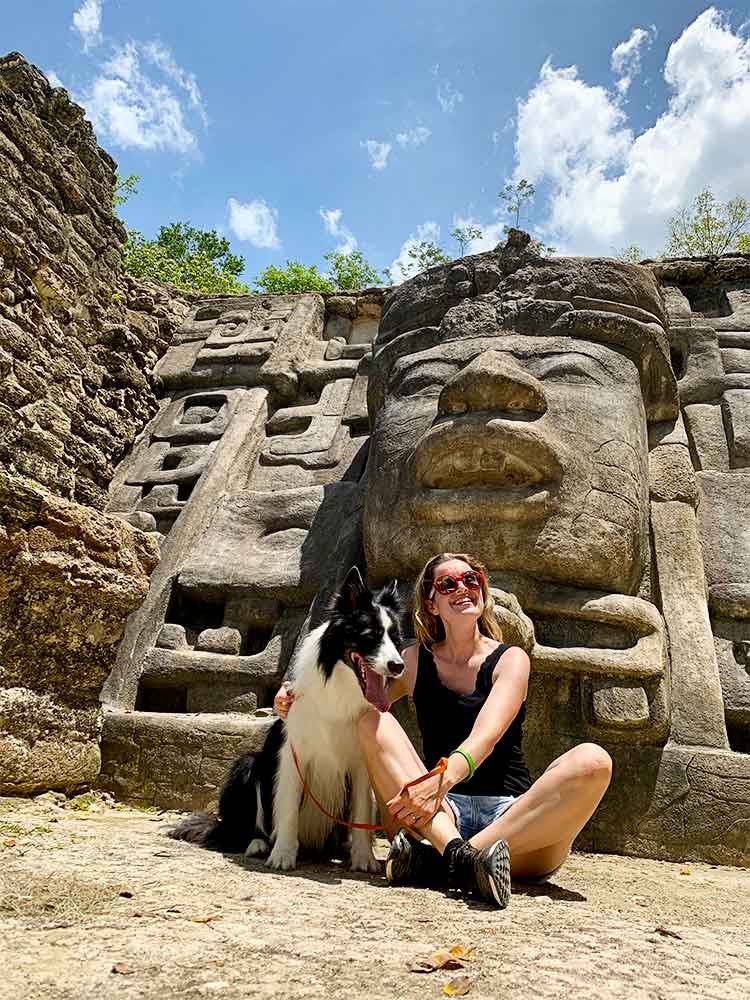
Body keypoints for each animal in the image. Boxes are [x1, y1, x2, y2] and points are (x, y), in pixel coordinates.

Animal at [170, 572, 406, 876]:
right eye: (370, 636)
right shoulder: (292, 756)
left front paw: (363, 858)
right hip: (247, 765)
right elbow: (289, 808)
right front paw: (282, 855)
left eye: (396, 639)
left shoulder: (361, 763)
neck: (338, 689)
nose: (398, 666)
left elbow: (362, 810)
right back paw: (258, 844)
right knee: (243, 828)